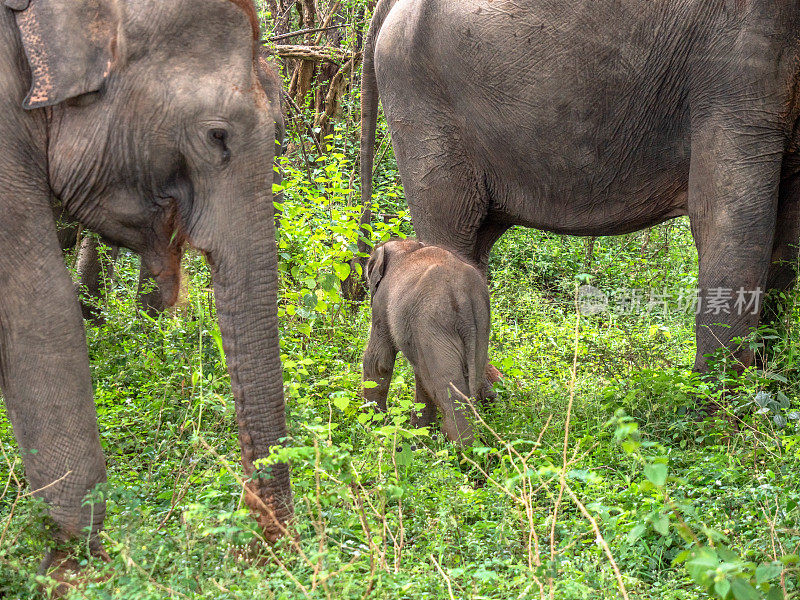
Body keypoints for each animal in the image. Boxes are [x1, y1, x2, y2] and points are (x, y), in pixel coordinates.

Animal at [360, 0, 800, 372]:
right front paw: (718, 409)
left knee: (477, 241)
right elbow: (727, 216)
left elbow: (786, 237)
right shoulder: (732, 65)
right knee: (452, 229)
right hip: (421, 104)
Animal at [360, 240, 488, 446]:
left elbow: (379, 361)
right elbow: (421, 374)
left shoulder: (382, 301)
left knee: (445, 384)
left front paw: (373, 425)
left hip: (432, 324)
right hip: (480, 327)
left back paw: (459, 447)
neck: (407, 245)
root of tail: (464, 297)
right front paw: (418, 431)